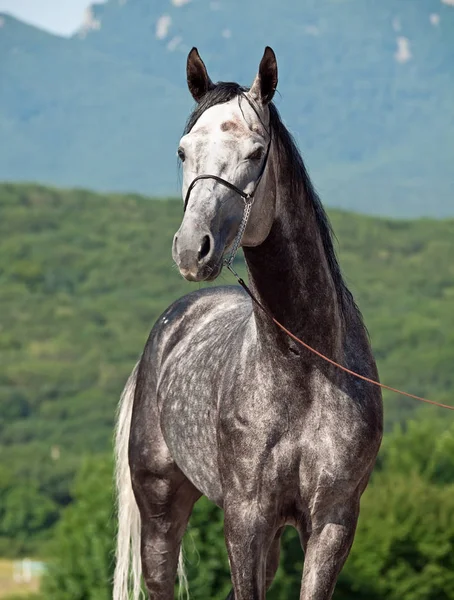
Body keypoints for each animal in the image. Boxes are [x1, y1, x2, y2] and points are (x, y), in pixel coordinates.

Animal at [113, 47, 384, 600]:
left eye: (257, 153)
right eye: (182, 151)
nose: (192, 249)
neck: (304, 368)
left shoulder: (333, 521)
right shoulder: (245, 519)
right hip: (160, 508)